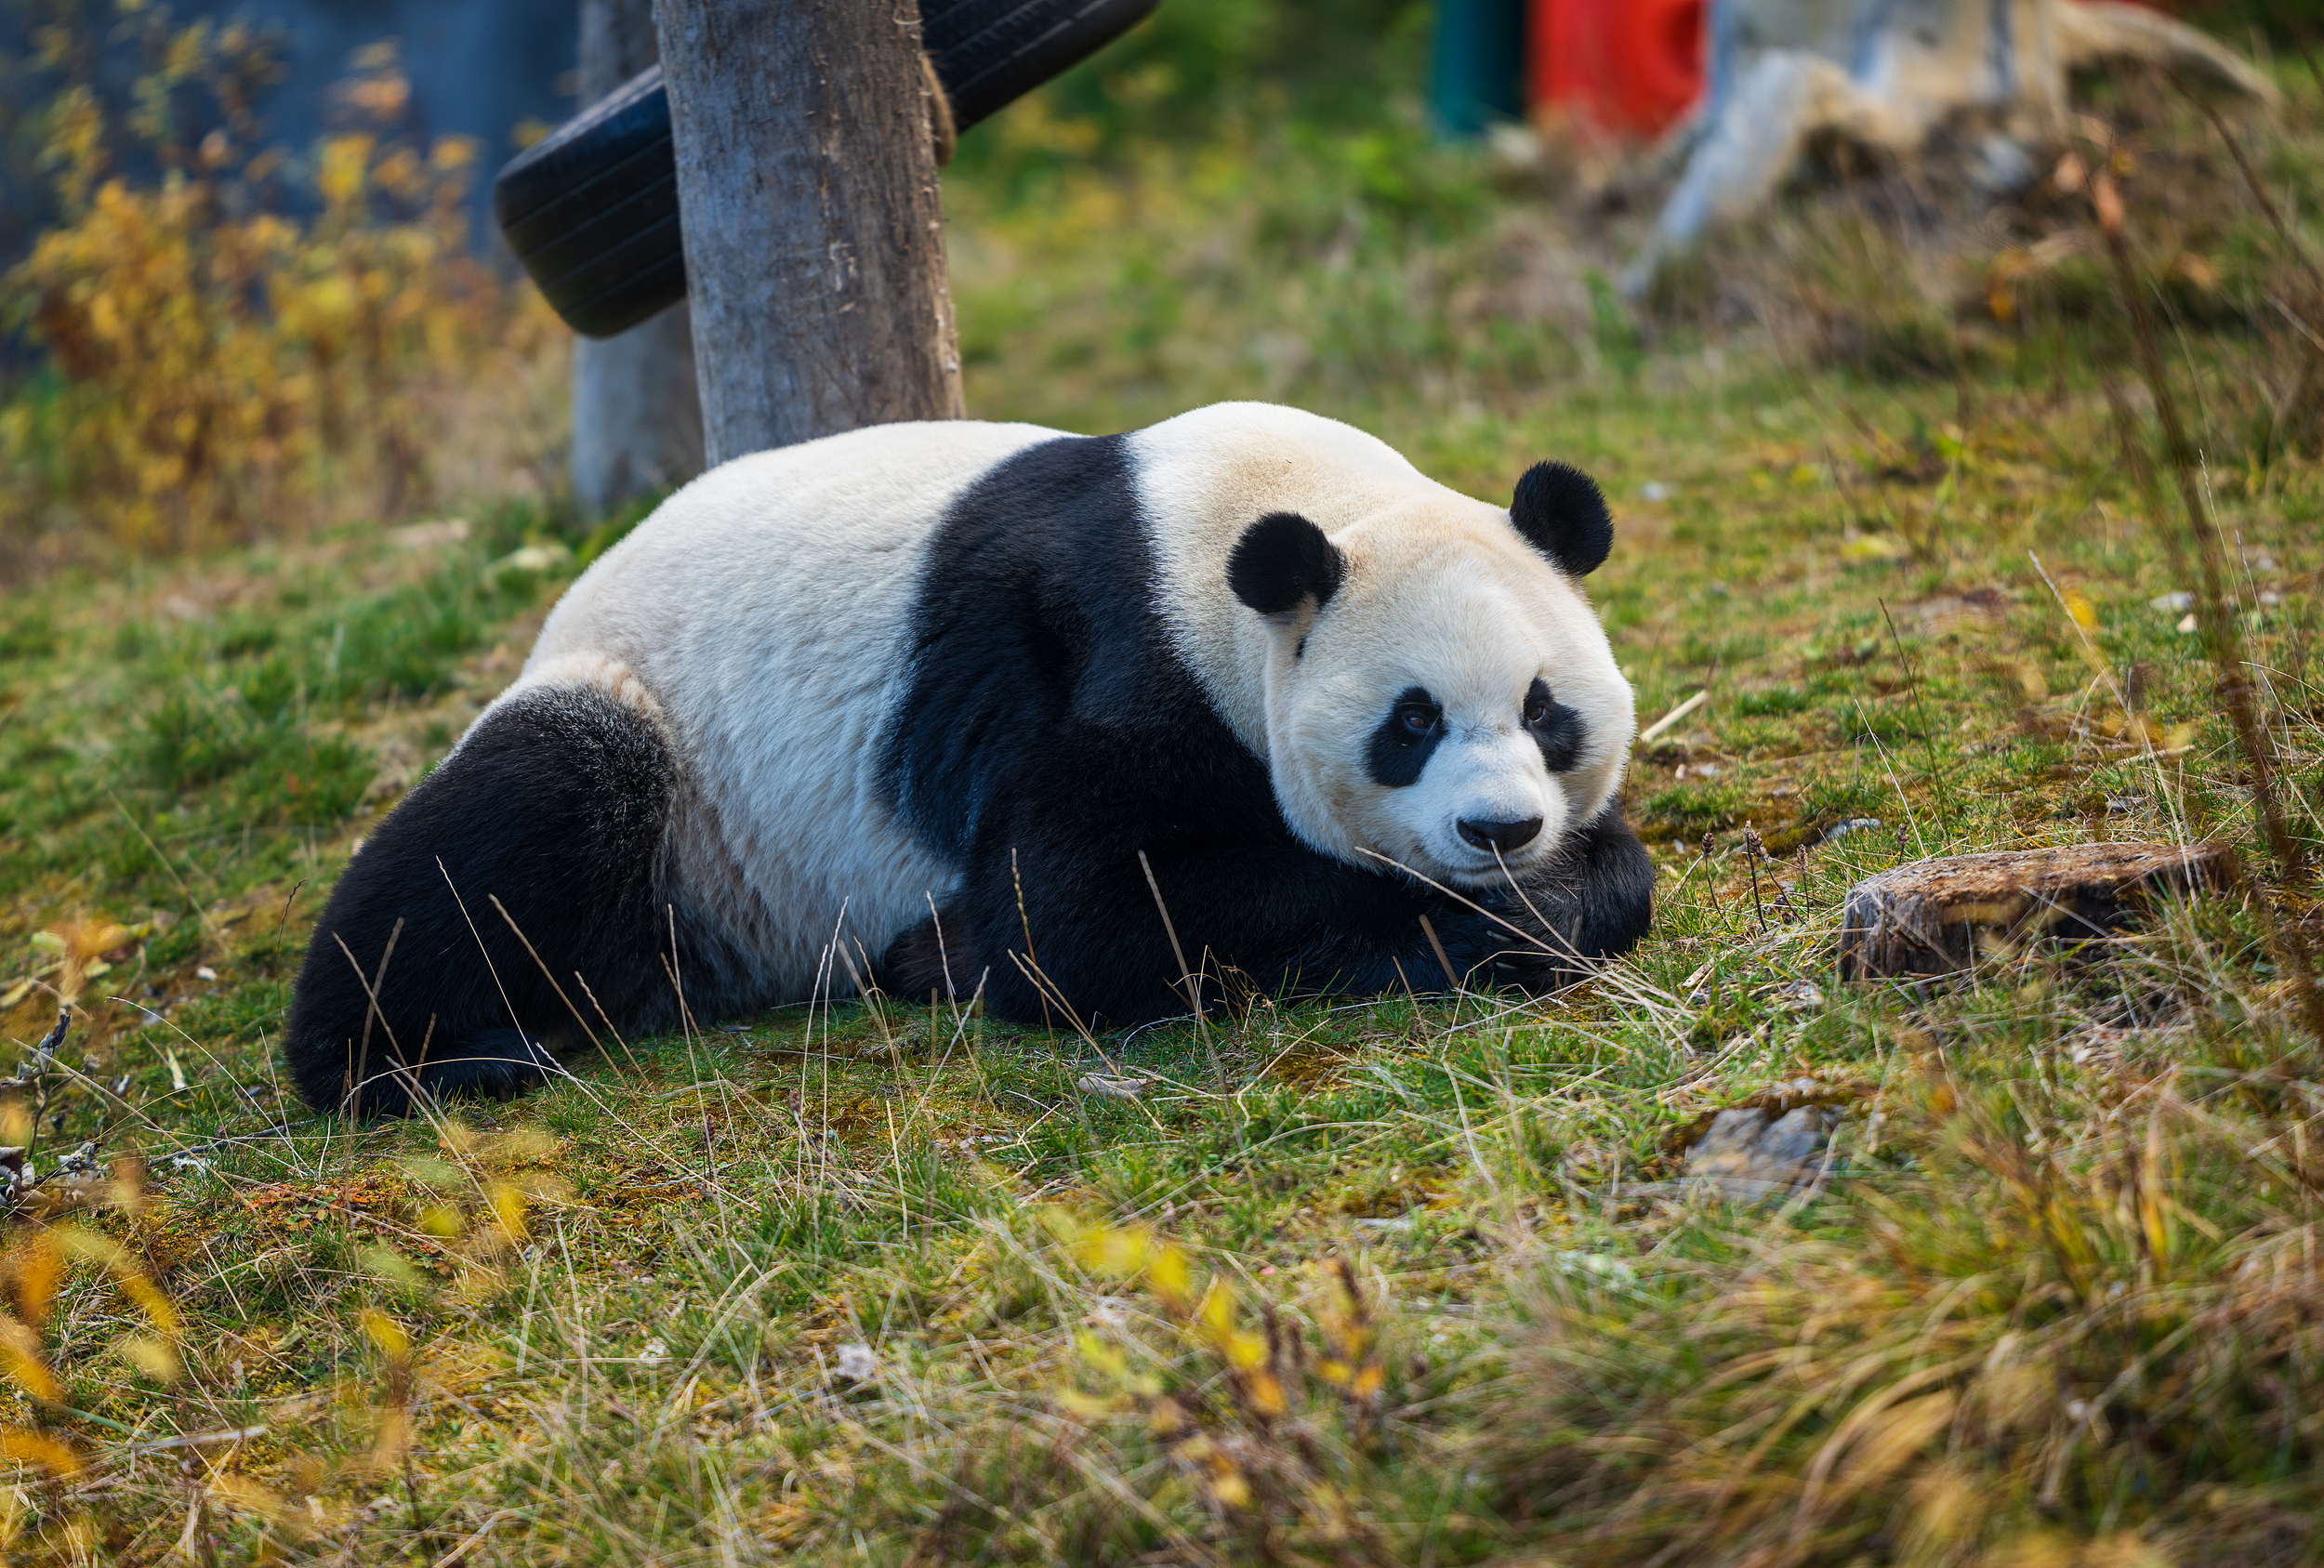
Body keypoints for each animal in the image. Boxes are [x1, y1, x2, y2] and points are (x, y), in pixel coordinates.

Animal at [283, 403, 1653, 1116]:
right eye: (1410, 721)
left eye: (1544, 710)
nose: (1498, 831)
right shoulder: (1125, 647)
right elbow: (1080, 912)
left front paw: (1558, 888)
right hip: (665, 747)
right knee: (527, 808)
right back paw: (419, 1057)